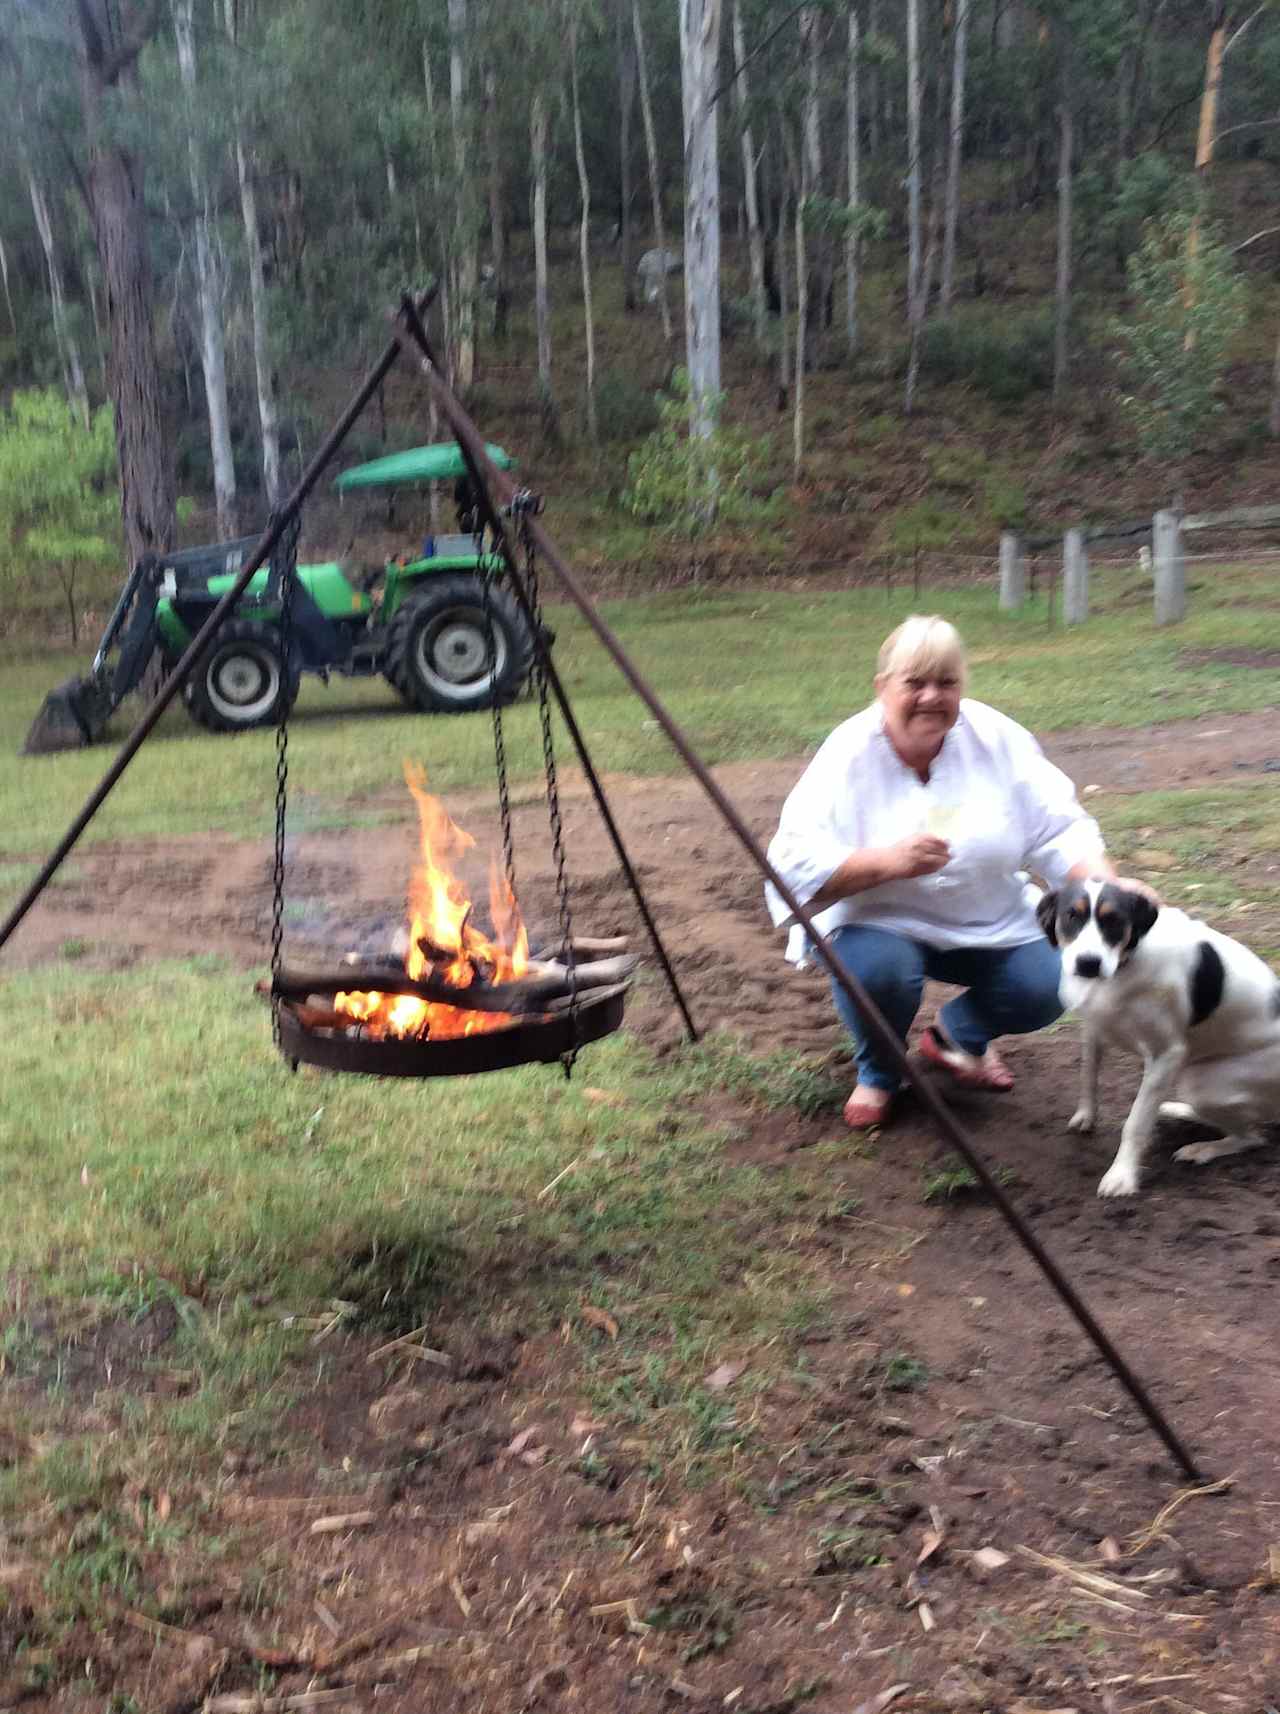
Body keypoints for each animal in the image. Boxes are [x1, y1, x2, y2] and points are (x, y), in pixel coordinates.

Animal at [1041, 877, 1280, 1199]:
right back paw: (1178, 1110)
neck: (1124, 965)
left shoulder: (1167, 1054)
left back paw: (1201, 1149)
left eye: (1114, 920)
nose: (1088, 963)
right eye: (1071, 916)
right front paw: (1086, 1115)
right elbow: (1088, 1074)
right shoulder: (1094, 1027)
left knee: (1252, 1136)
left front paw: (1122, 1175)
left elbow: (1136, 1122)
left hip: (1204, 1083)